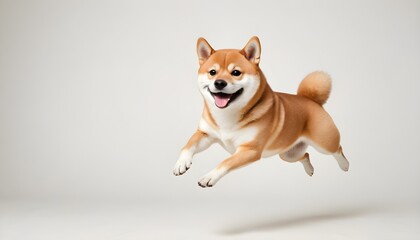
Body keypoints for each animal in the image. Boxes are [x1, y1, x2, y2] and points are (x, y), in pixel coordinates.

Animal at [172, 36, 350, 188]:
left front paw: (209, 176)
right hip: (288, 154)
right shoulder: (205, 134)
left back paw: (345, 165)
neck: (227, 116)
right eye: (212, 72)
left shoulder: (250, 150)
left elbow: (225, 162)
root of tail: (311, 100)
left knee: (338, 149)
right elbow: (187, 146)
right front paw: (181, 164)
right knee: (305, 155)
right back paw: (310, 169)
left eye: (236, 72)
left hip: (325, 144)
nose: (219, 83)